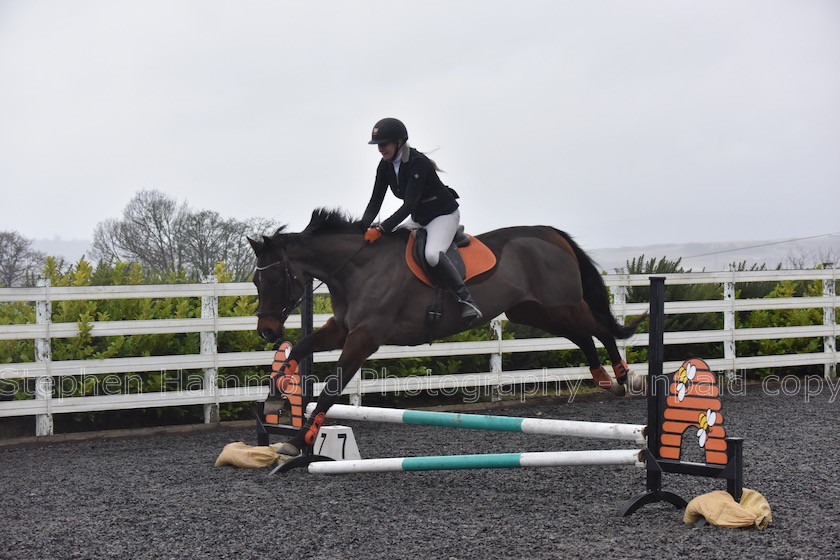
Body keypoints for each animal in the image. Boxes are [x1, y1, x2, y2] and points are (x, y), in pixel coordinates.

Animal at [246, 208, 648, 458]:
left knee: (599, 327)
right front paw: (274, 401)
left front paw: (299, 441)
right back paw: (604, 379)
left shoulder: (363, 338)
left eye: (274, 279)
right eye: (255, 280)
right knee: (583, 335)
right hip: (535, 310)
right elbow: (299, 349)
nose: (266, 331)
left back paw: (625, 378)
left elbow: (331, 389)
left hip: (559, 304)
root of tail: (549, 234)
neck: (356, 268)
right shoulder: (341, 330)